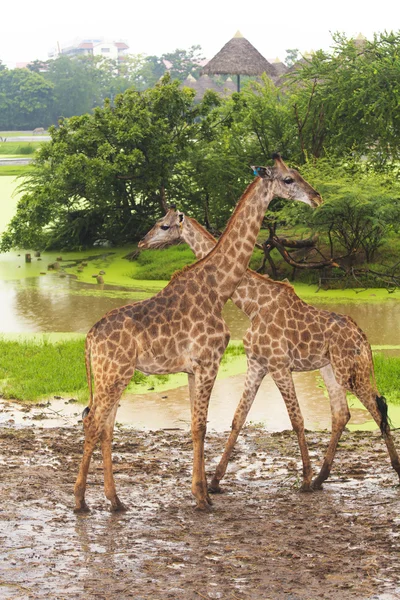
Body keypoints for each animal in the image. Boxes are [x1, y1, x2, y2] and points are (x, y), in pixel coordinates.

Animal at [72, 154, 322, 510]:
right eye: (288, 179)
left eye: (298, 173)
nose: (316, 197)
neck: (218, 288)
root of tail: (89, 339)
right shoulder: (208, 362)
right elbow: (201, 426)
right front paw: (203, 497)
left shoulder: (192, 369)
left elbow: (195, 425)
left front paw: (199, 490)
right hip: (112, 374)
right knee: (93, 422)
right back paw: (80, 501)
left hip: (114, 376)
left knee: (104, 425)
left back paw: (115, 500)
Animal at [139, 209, 400, 490]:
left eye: (164, 226)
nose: (142, 243)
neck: (252, 304)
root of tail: (364, 338)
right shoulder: (256, 364)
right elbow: (238, 417)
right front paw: (216, 481)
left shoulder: (279, 364)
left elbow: (297, 420)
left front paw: (304, 479)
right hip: (331, 370)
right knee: (342, 414)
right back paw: (322, 477)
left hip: (352, 372)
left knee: (378, 409)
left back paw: (390, 469)